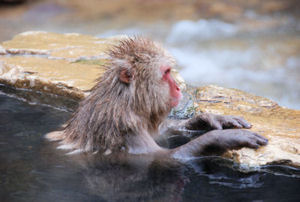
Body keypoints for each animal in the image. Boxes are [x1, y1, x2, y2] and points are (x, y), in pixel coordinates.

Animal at [46, 37, 268, 159]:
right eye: (167, 72)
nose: (177, 87)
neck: (127, 100)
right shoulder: (122, 123)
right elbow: (162, 158)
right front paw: (224, 137)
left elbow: (162, 130)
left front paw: (209, 119)